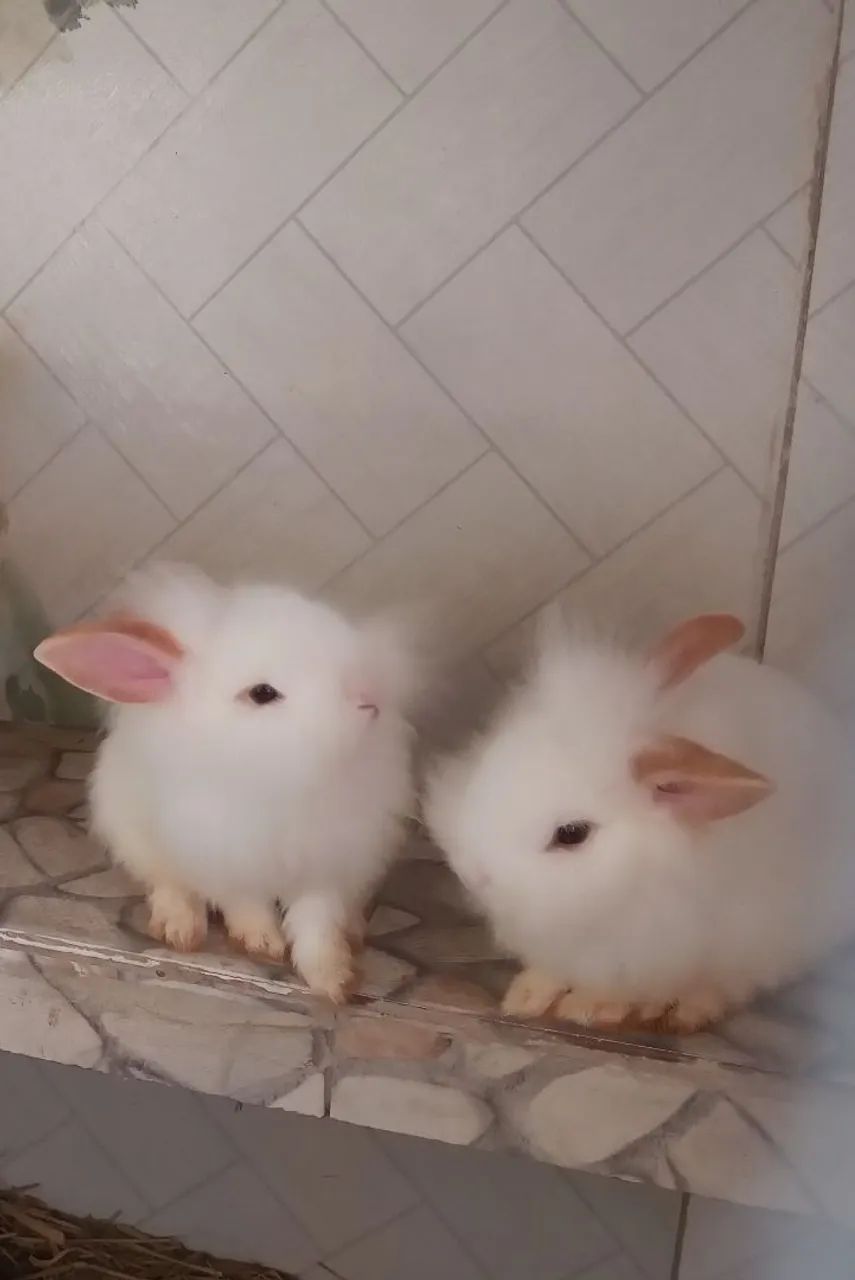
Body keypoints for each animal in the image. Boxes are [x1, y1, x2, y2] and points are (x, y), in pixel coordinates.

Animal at [34, 563, 418, 1003]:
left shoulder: (330, 862)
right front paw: (262, 943)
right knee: (166, 882)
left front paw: (333, 980)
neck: (281, 779)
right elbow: (247, 904)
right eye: (262, 693)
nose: (369, 697)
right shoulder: (225, 858)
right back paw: (180, 928)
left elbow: (316, 923)